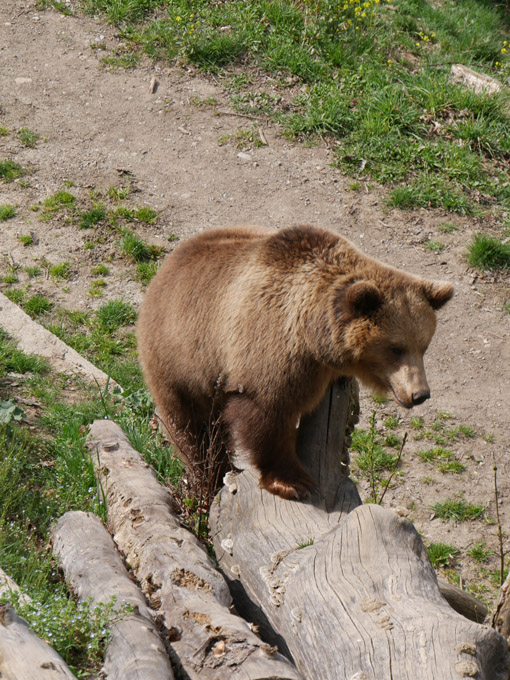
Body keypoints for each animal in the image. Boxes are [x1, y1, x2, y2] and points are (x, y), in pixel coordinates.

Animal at [137, 224, 453, 500]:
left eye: (423, 346)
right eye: (395, 348)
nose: (420, 394)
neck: (313, 337)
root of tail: (166, 267)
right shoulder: (269, 343)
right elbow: (267, 414)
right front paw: (294, 482)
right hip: (181, 361)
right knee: (194, 430)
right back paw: (211, 475)